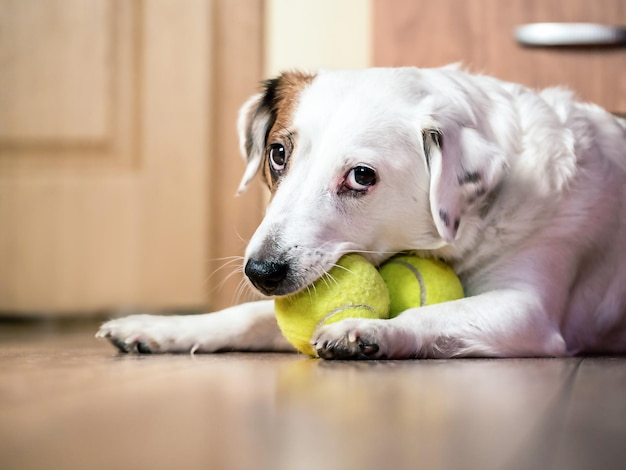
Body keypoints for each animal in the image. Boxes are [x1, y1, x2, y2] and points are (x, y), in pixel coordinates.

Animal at [96, 67, 624, 360]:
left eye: (362, 176)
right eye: (278, 154)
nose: (260, 271)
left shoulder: (525, 311)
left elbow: (434, 313)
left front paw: (368, 330)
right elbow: (245, 316)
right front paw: (161, 327)